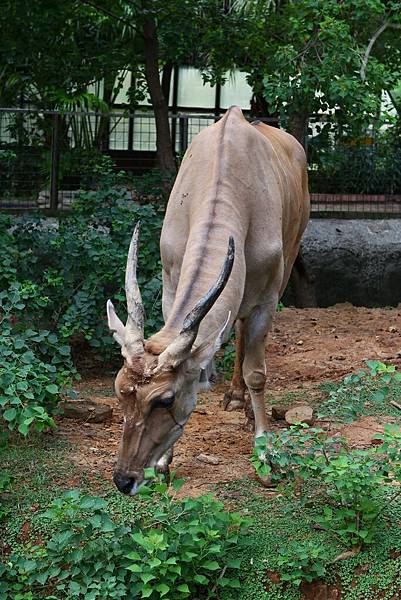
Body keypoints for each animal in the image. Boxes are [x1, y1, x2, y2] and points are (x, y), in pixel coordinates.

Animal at [107, 105, 310, 494]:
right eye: (121, 390)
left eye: (165, 399)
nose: (125, 479)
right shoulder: (171, 288)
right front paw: (164, 463)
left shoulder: (266, 300)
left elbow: (257, 374)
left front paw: (265, 458)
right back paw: (233, 396)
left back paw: (242, 401)